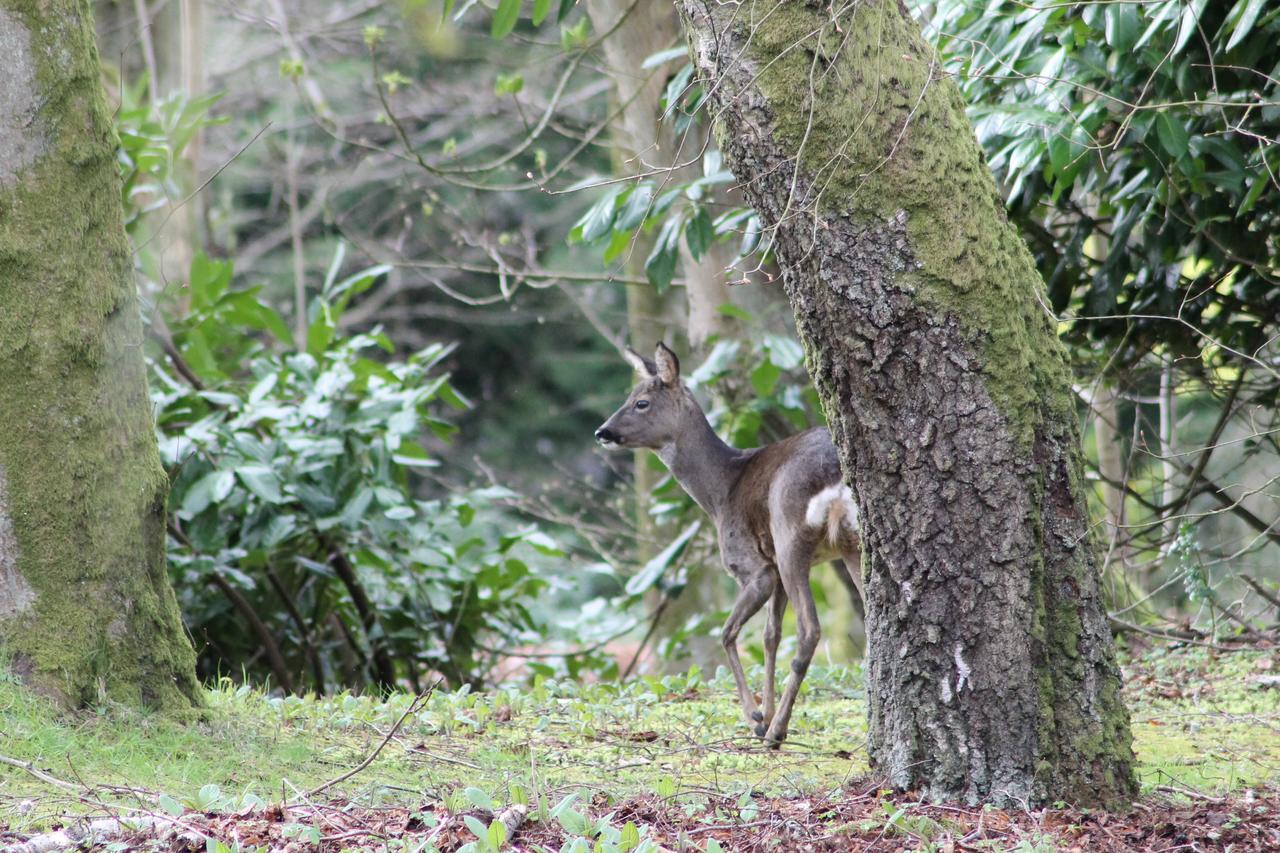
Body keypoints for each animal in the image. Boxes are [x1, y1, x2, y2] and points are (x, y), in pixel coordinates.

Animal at [596, 340, 860, 742]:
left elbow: (727, 632)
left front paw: (756, 717)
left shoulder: (754, 567)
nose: (603, 432)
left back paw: (777, 732)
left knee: (810, 630)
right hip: (851, 543)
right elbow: (770, 635)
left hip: (790, 534)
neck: (721, 491)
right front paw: (764, 711)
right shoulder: (772, 568)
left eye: (641, 402)